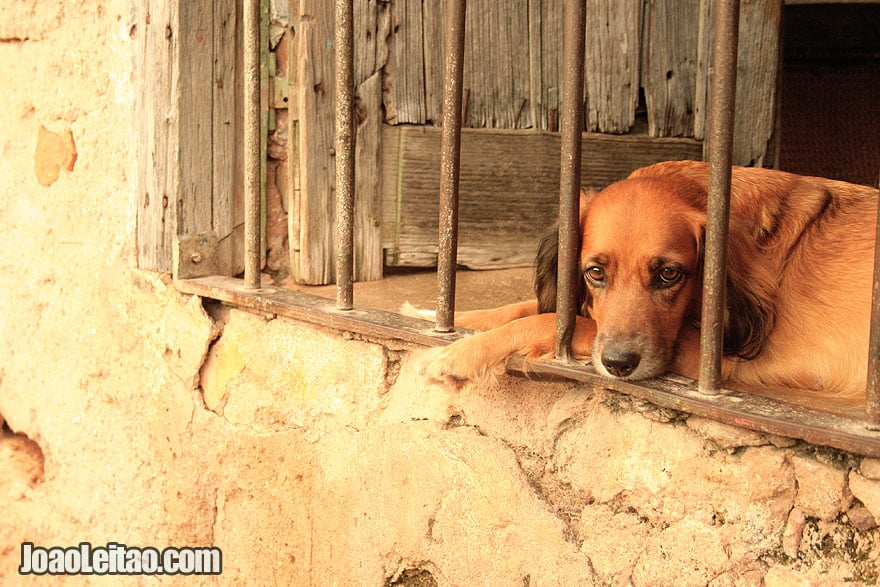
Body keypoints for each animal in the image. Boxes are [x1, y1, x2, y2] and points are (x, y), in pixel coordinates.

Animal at [420, 161, 880, 400]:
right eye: (596, 271)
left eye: (668, 273)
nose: (619, 365)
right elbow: (531, 308)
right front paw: (440, 316)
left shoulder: (709, 358)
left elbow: (549, 321)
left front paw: (459, 355)